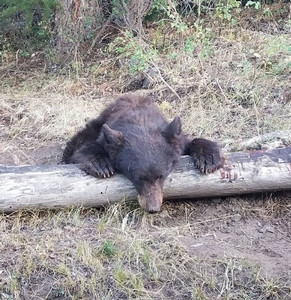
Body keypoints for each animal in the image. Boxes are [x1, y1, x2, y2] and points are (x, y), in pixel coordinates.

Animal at [62, 94, 224, 213]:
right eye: (138, 177)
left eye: (161, 176)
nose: (153, 208)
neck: (140, 121)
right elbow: (82, 150)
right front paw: (101, 165)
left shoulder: (175, 138)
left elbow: (191, 141)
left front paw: (209, 159)